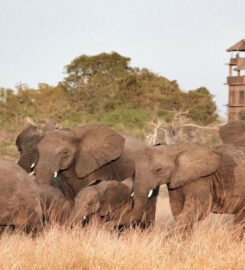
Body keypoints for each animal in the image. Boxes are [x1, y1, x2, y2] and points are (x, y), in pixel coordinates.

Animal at [116, 143, 245, 236]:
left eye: (158, 170)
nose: (112, 223)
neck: (174, 149)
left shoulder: (200, 178)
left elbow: (199, 209)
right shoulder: (175, 182)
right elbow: (178, 209)